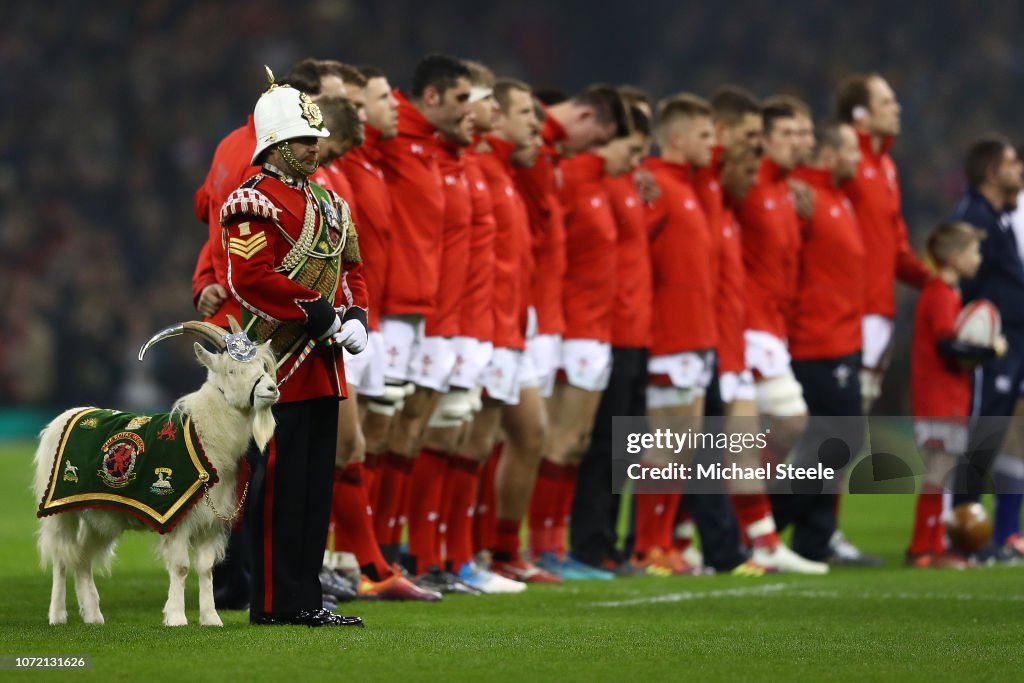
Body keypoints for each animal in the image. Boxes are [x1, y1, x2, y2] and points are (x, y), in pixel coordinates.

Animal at [34, 317, 278, 626]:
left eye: (262, 367)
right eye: (232, 370)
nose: (271, 389)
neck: (202, 436)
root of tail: (64, 417)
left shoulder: (210, 521)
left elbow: (206, 568)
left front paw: (211, 618)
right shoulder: (177, 515)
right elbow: (182, 567)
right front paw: (175, 617)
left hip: (99, 515)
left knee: (83, 558)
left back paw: (93, 615)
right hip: (60, 508)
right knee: (62, 557)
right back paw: (57, 615)